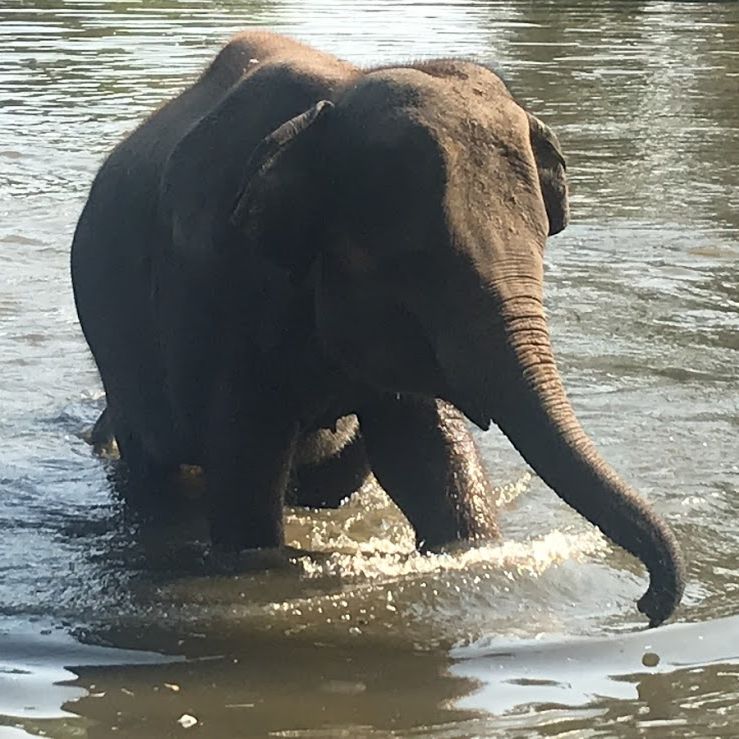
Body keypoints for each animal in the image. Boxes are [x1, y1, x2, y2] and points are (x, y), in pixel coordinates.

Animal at [72, 31, 684, 628]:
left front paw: (470, 550)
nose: (645, 604)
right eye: (418, 268)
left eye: (543, 243)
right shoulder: (213, 287)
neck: (337, 100)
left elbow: (425, 453)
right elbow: (247, 468)